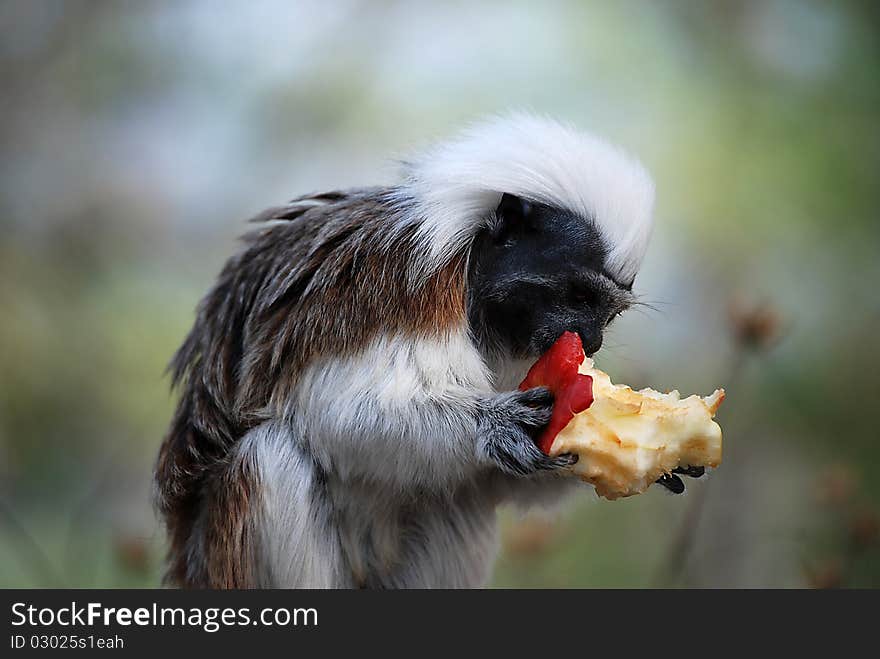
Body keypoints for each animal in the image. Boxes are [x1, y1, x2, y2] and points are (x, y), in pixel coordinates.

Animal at [154, 113, 683, 588]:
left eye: (607, 313)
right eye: (580, 297)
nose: (591, 341)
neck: (472, 282)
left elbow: (494, 476)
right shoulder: (398, 284)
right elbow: (335, 414)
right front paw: (496, 425)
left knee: (456, 495)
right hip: (222, 561)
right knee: (269, 455)